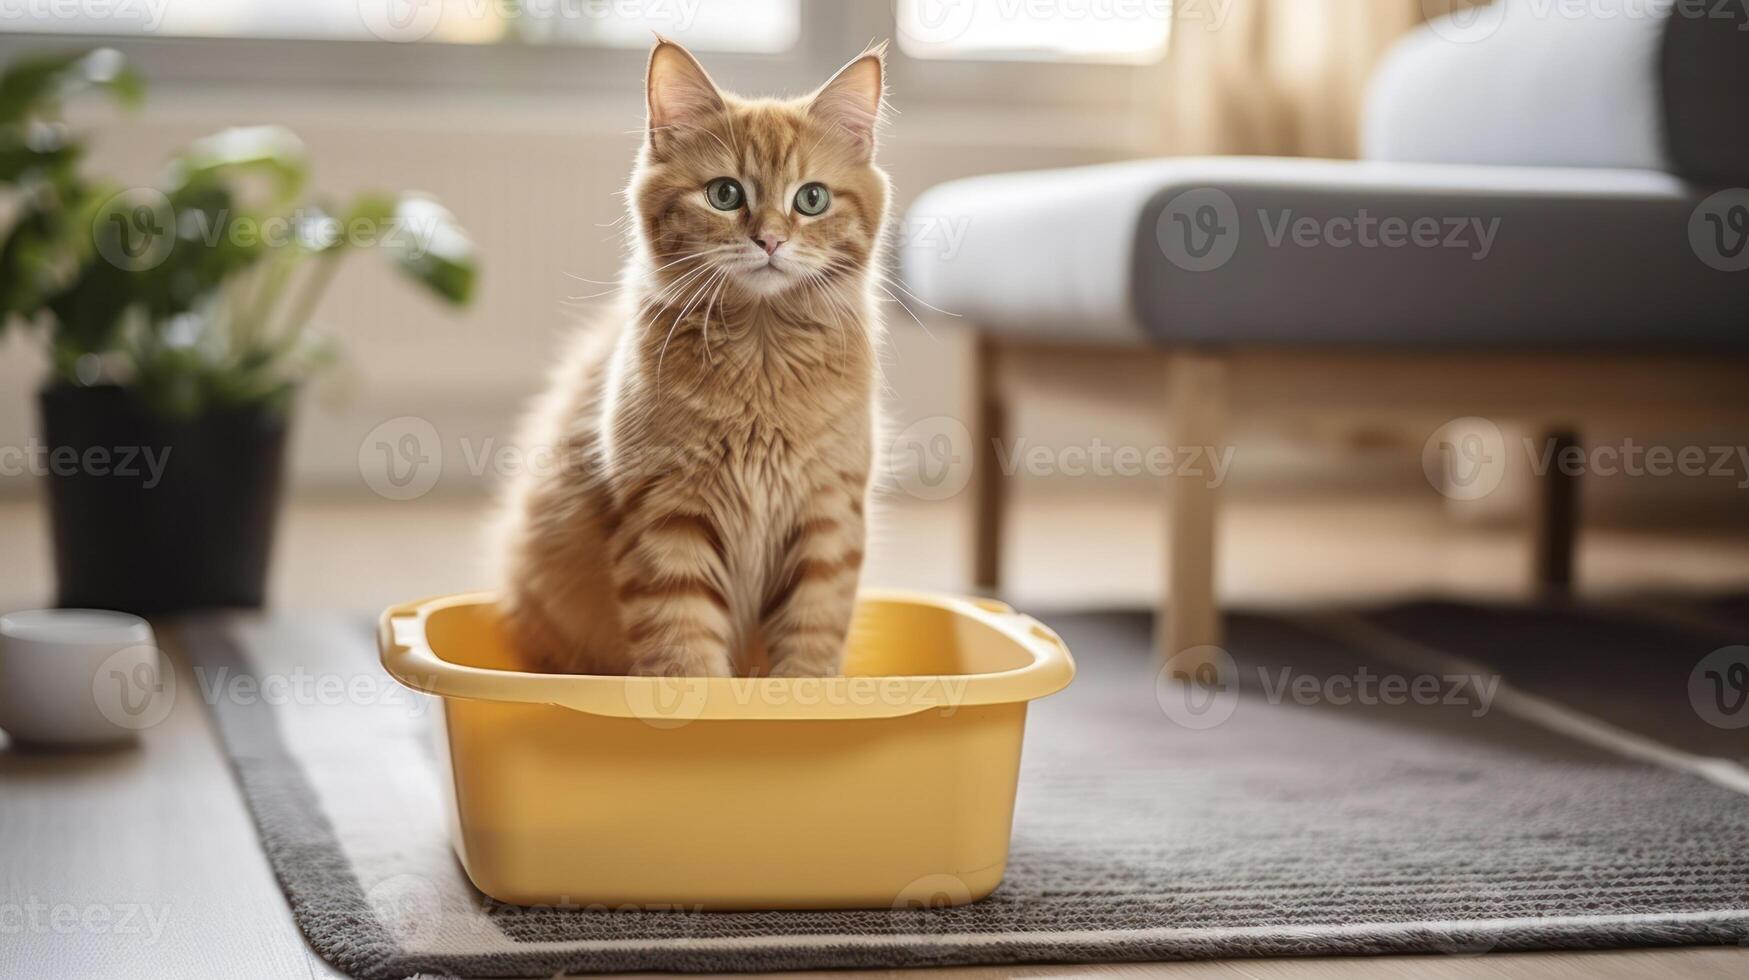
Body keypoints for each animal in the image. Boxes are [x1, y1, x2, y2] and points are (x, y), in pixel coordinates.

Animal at [493, 40, 888, 682]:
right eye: (725, 194)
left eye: (812, 199)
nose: (770, 241)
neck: (761, 356)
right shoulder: (668, 516)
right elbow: (683, 650)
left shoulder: (826, 518)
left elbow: (810, 638)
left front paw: (803, 694)